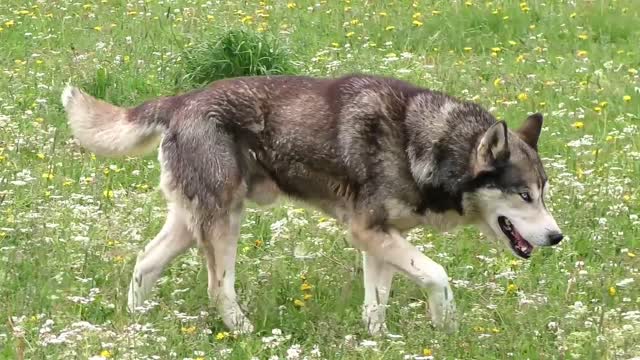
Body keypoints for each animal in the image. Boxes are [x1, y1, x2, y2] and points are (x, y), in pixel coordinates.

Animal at [60, 74, 560, 336]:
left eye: (544, 191)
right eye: (523, 195)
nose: (557, 237)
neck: (426, 145)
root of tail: (180, 101)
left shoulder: (382, 240)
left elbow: (376, 305)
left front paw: (379, 342)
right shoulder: (366, 232)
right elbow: (437, 275)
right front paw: (445, 322)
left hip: (191, 222)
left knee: (145, 262)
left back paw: (135, 326)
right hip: (223, 224)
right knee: (218, 287)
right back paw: (247, 335)